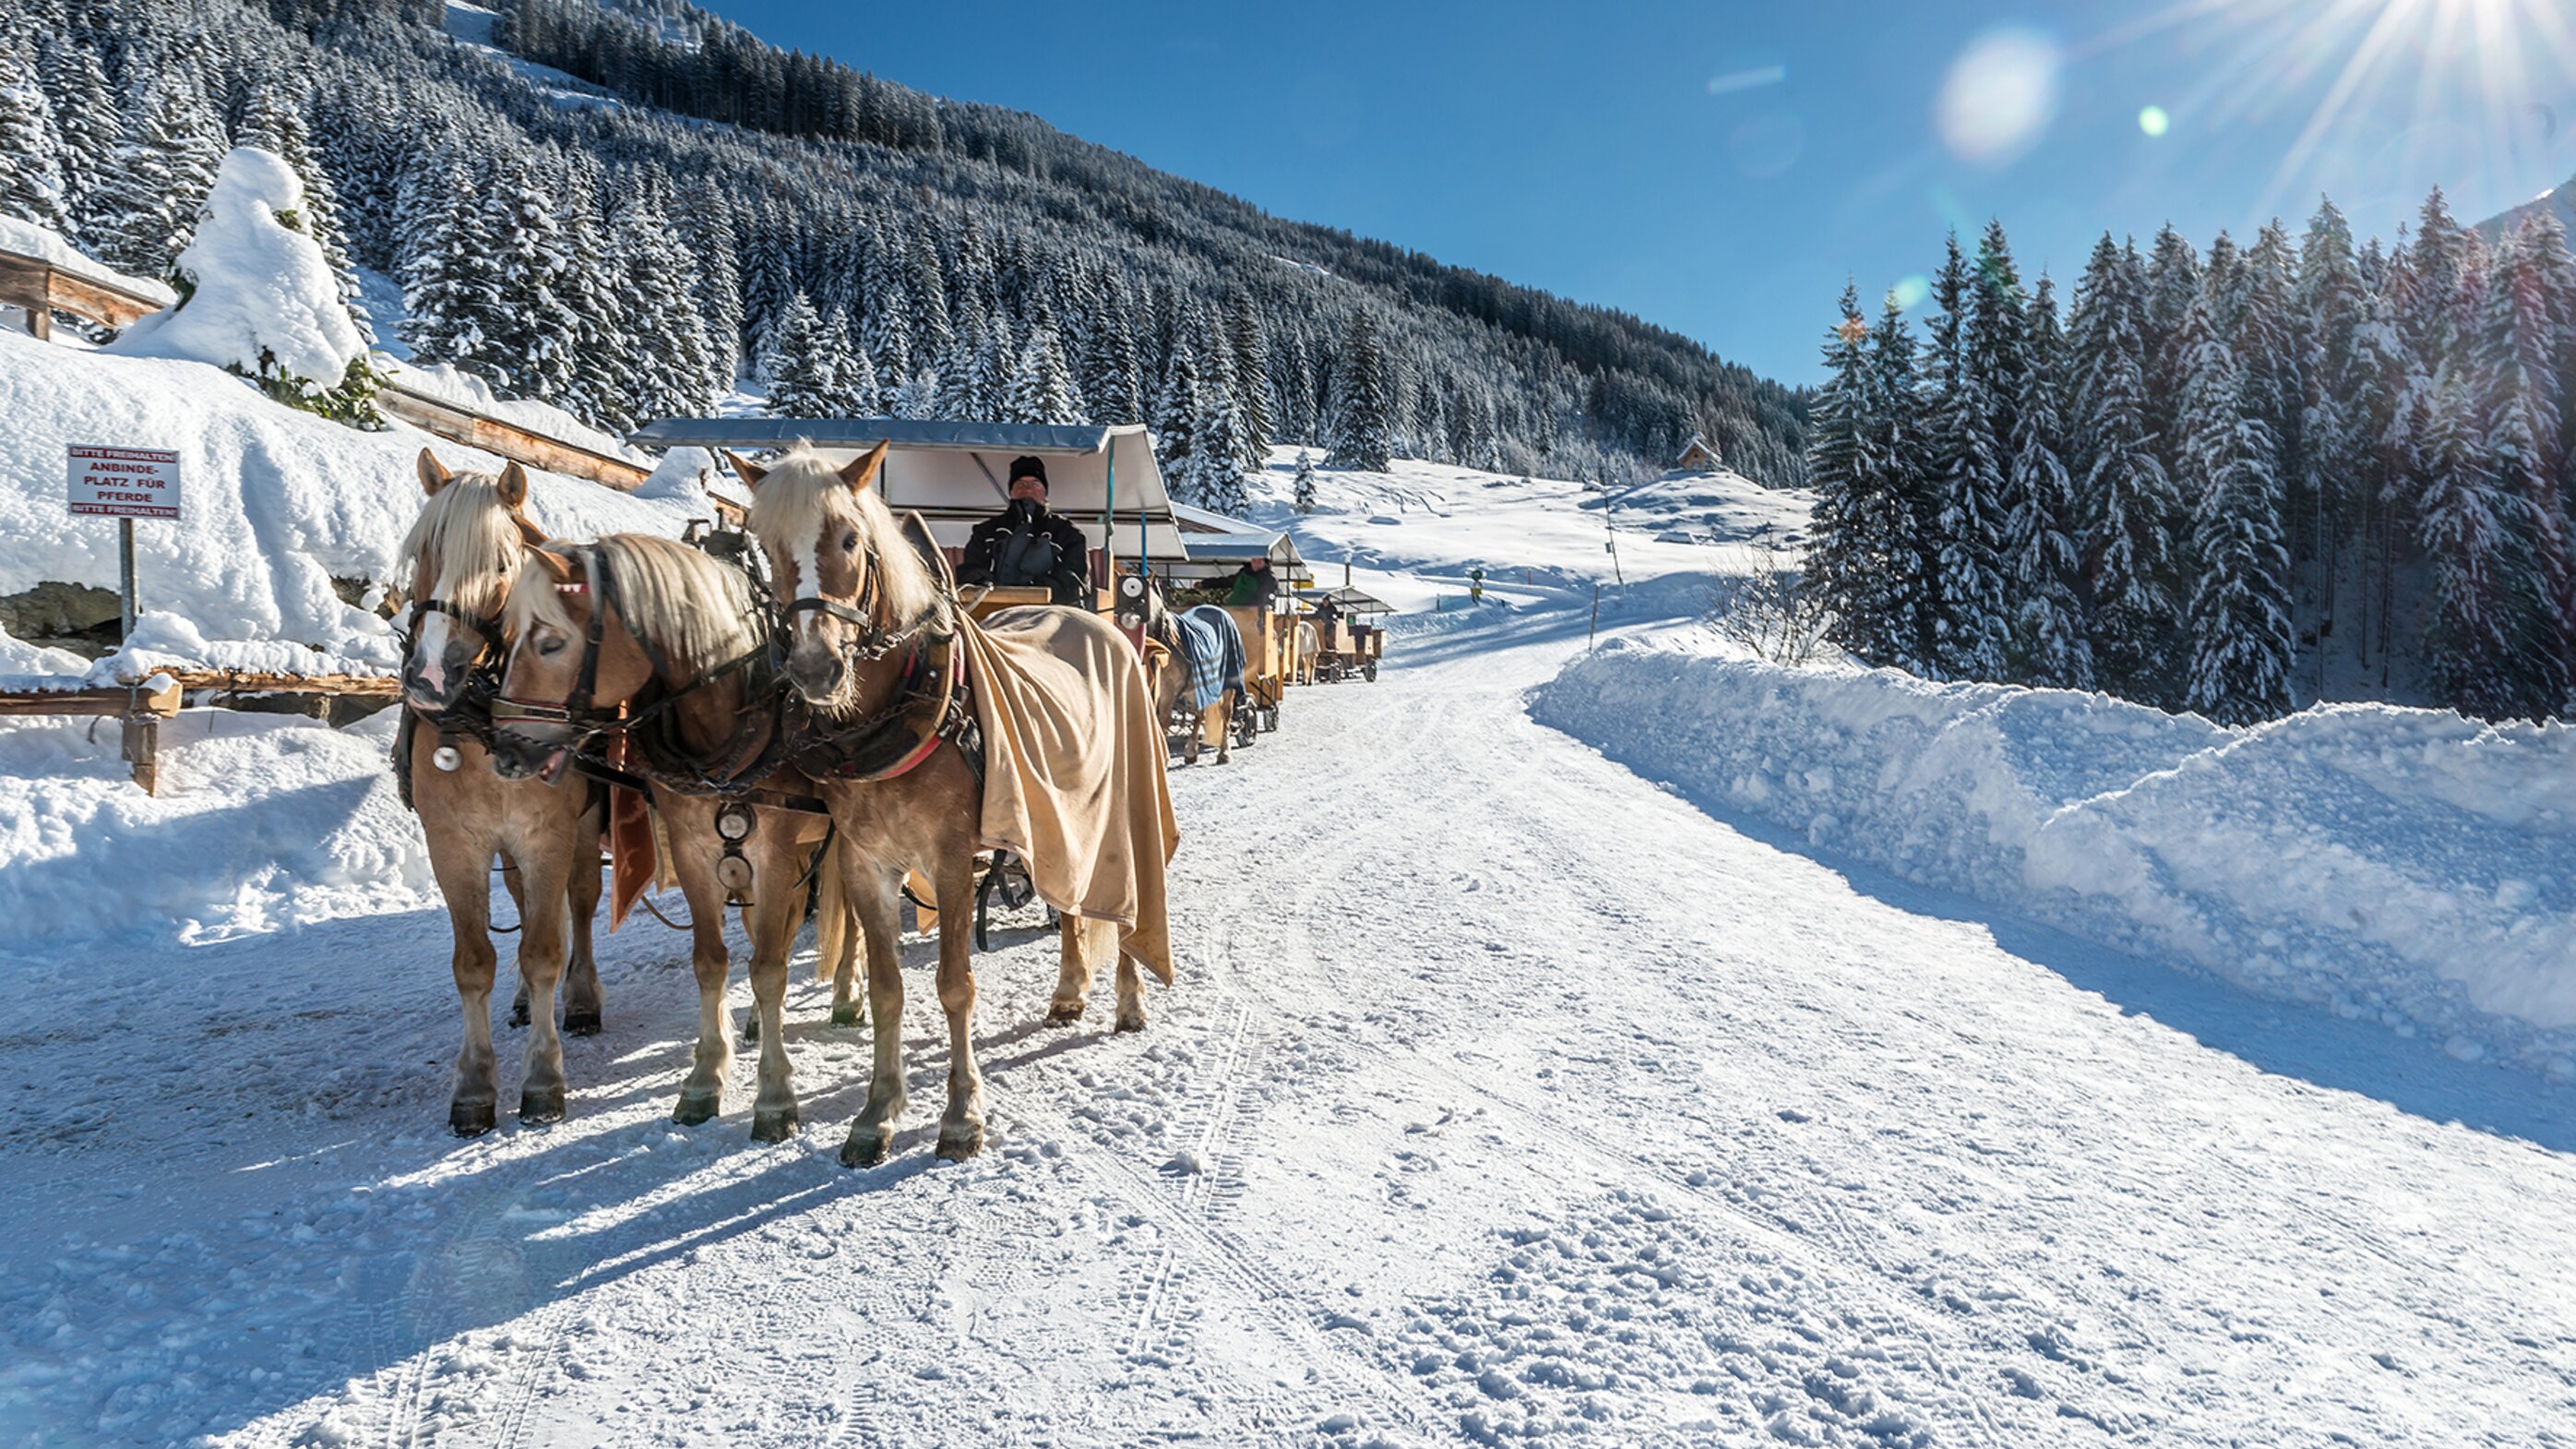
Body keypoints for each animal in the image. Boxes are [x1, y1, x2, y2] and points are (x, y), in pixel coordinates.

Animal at [394, 449, 605, 1129]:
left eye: (502, 564)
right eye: (423, 551)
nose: (432, 676)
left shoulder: (548, 834)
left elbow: (543, 951)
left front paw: (542, 1079)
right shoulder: (454, 843)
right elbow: (473, 962)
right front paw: (474, 1085)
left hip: (583, 828)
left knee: (580, 904)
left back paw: (582, 996)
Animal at [486, 531, 840, 1139]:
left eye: (551, 642)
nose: (506, 750)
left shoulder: (772, 853)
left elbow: (769, 968)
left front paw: (774, 1097)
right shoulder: (696, 851)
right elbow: (713, 962)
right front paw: (704, 1079)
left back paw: (851, 997)